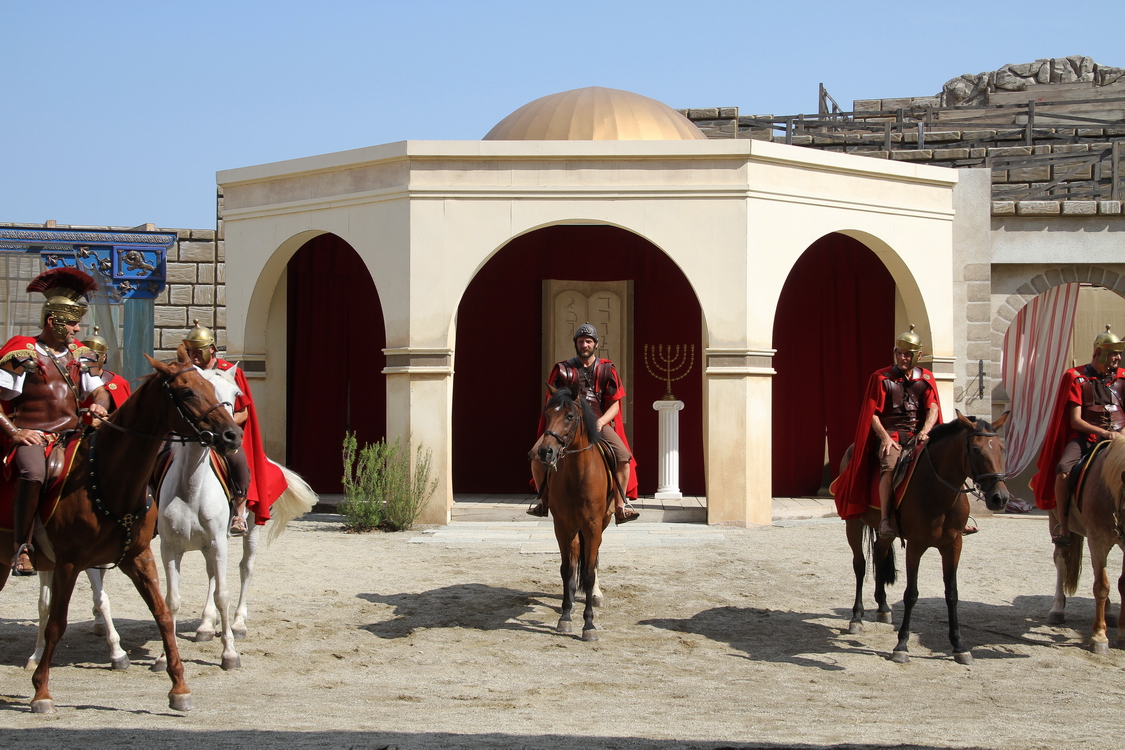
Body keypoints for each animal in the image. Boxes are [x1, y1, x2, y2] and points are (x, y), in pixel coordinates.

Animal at [0, 348, 241, 715]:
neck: (107, 476)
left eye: (219, 391)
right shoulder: (70, 562)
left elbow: (163, 613)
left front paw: (179, 687)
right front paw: (41, 691)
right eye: (187, 391)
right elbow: (57, 622)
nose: (232, 435)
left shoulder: (139, 557)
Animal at [151, 368, 319, 674]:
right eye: (197, 391)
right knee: (211, 575)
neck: (190, 487)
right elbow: (171, 600)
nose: (231, 435)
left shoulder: (219, 542)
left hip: (249, 531)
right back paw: (206, 625)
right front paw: (163, 656)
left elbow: (223, 595)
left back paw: (239, 622)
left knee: (245, 569)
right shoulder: (170, 547)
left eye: (235, 394)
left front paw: (229, 653)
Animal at [531, 386, 612, 638]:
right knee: (576, 556)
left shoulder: (593, 527)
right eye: (547, 414)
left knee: (592, 561)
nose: (545, 451)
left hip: (601, 524)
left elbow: (588, 573)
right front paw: (566, 616)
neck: (579, 475)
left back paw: (594, 595)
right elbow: (567, 569)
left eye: (569, 416)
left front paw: (589, 625)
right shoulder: (562, 526)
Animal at [841, 413, 1008, 665]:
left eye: (1001, 448)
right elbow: (911, 594)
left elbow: (952, 594)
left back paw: (883, 607)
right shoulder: (916, 546)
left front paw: (959, 646)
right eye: (976, 450)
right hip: (853, 522)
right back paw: (856, 618)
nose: (1000, 498)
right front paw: (901, 646)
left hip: (886, 531)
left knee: (879, 553)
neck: (938, 490)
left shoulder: (953, 546)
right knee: (859, 566)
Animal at [1048, 436, 1125, 652]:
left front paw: (1122, 633)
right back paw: (1057, 609)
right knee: (1061, 561)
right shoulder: (1097, 539)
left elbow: (1121, 583)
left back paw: (1109, 612)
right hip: (1056, 522)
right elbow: (1101, 586)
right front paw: (1099, 637)